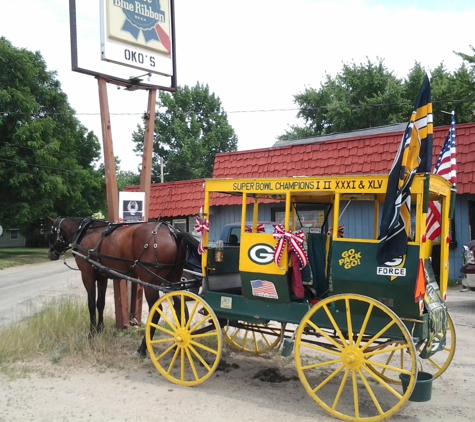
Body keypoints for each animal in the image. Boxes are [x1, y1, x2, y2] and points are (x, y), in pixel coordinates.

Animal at [45, 216, 200, 358]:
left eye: (51, 232)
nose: (51, 254)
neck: (86, 232)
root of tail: (174, 233)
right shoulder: (102, 277)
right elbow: (100, 303)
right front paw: (100, 329)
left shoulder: (87, 275)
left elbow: (91, 304)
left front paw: (92, 334)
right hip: (174, 280)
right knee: (180, 307)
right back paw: (179, 342)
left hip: (151, 282)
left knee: (156, 311)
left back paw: (142, 348)